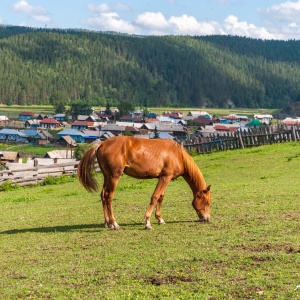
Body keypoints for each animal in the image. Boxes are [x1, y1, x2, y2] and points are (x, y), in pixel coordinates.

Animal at [78, 136, 212, 230]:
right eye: (207, 202)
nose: (207, 219)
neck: (177, 154)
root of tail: (102, 144)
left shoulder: (162, 177)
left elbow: (161, 197)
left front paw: (160, 219)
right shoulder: (166, 177)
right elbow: (155, 197)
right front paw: (147, 222)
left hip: (107, 177)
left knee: (103, 195)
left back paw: (107, 223)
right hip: (114, 177)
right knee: (109, 197)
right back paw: (114, 223)